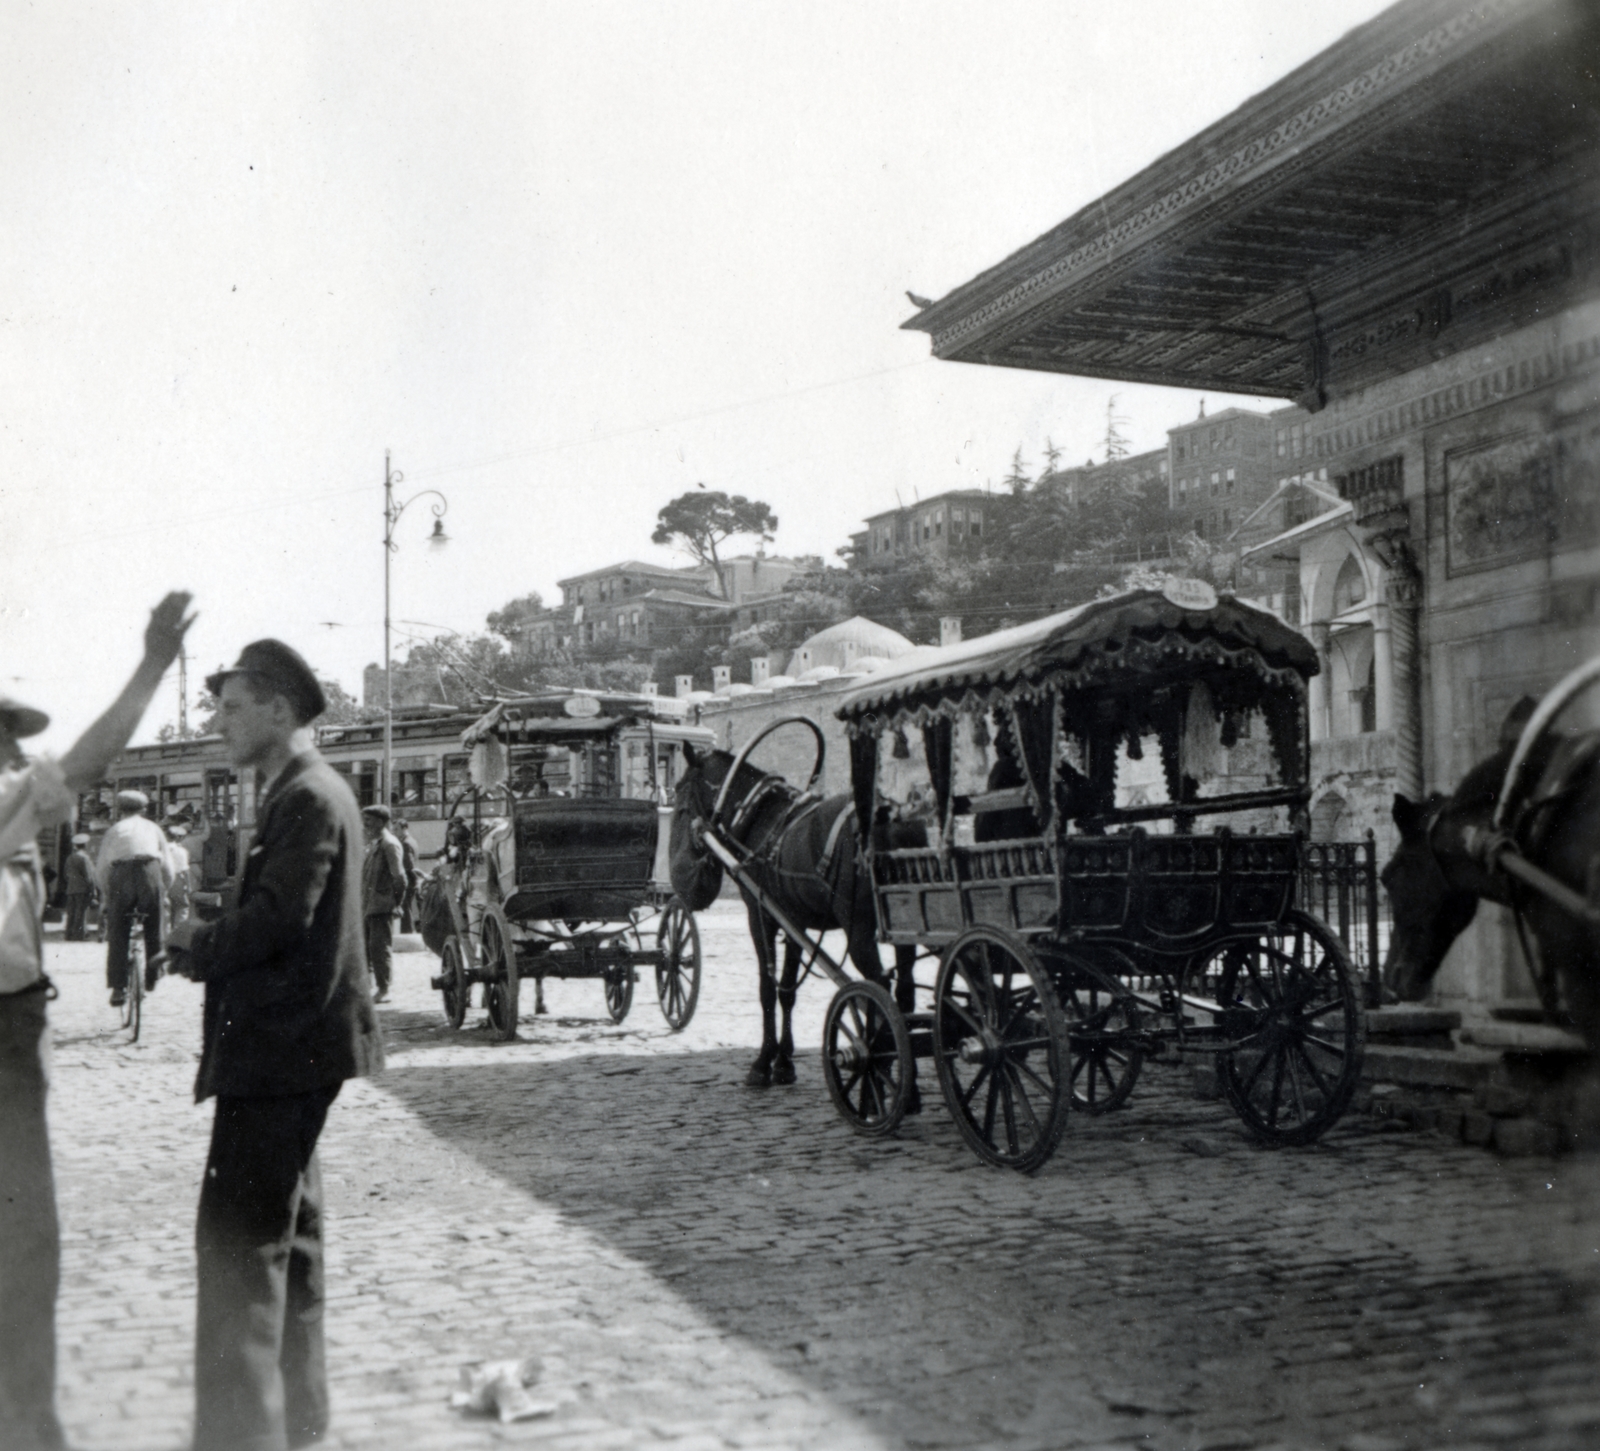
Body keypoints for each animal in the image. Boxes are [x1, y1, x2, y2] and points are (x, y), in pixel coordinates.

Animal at [668, 742, 921, 1094]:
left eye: (680, 796)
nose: (678, 877)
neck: (758, 817)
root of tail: (893, 815)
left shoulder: (760, 916)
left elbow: (766, 988)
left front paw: (762, 1062)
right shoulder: (793, 921)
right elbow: (787, 990)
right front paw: (784, 1062)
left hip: (859, 931)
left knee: (879, 990)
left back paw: (880, 1061)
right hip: (904, 930)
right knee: (906, 991)